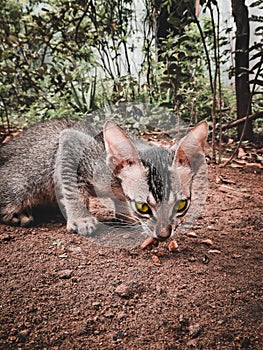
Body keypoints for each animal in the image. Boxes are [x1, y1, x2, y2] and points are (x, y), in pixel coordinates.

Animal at [0, 117, 209, 241]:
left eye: (181, 205)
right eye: (143, 207)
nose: (164, 235)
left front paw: (125, 216)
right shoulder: (70, 142)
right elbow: (73, 189)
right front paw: (81, 218)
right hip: (23, 182)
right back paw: (20, 215)